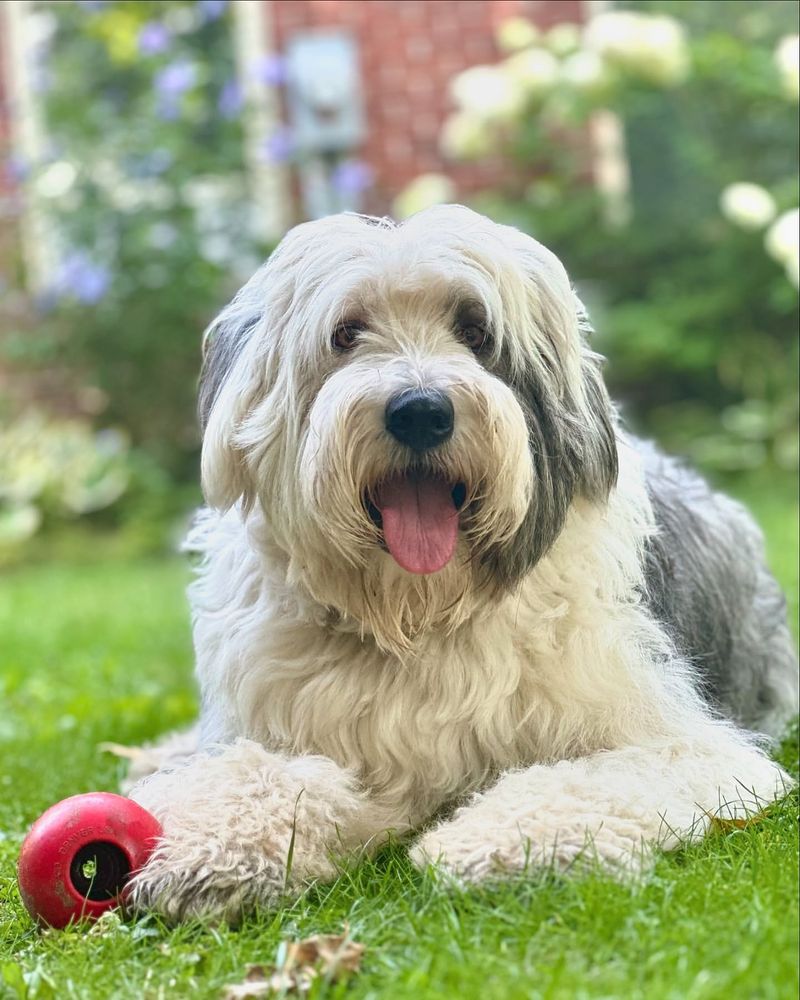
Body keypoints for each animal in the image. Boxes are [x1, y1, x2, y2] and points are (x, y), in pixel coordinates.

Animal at [128, 205, 796, 920]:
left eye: (476, 332)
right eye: (346, 333)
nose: (420, 411)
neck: (421, 615)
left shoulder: (692, 746)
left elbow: (602, 777)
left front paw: (497, 843)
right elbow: (259, 773)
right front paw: (203, 844)